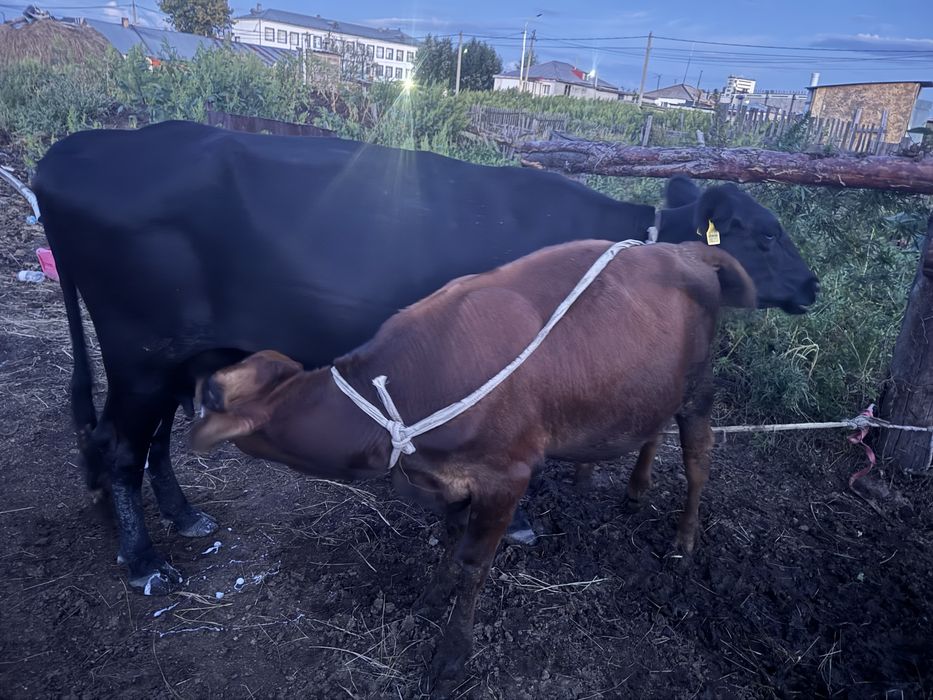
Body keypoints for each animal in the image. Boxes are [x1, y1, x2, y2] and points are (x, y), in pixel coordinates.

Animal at [31, 119, 819, 596]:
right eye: (759, 233)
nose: (812, 286)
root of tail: (70, 151)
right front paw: (518, 522)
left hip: (173, 355)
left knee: (153, 438)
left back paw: (183, 515)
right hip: (139, 349)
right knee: (116, 445)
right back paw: (143, 561)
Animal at [189, 239, 759, 694]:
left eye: (215, 394)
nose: (200, 387)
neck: (403, 394)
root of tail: (686, 248)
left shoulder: (506, 477)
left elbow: (474, 562)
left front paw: (451, 655)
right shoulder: (445, 479)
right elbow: (449, 541)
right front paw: (429, 597)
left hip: (699, 388)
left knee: (698, 457)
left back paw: (684, 540)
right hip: (651, 386)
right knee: (652, 430)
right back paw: (636, 490)